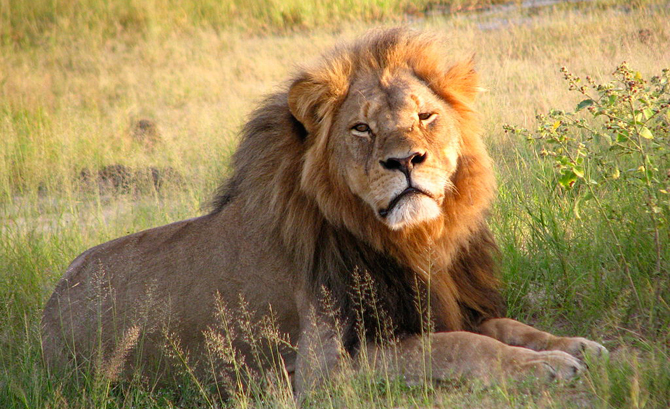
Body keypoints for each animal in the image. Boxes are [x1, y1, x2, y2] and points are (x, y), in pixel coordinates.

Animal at [42, 27, 608, 396]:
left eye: (426, 116)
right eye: (361, 128)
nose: (405, 161)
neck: (413, 242)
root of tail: (46, 309)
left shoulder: (439, 300)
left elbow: (506, 326)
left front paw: (575, 345)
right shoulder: (325, 366)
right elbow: (460, 345)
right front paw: (547, 366)